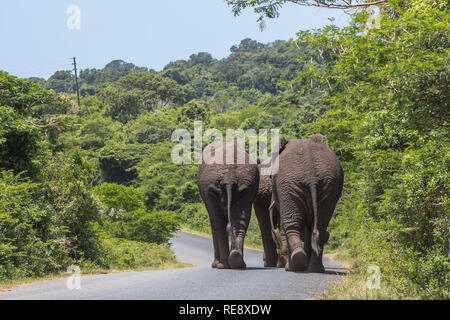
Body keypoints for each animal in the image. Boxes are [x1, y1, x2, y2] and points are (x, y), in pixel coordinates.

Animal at [198, 139, 258, 268]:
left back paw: (223, 265)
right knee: (241, 221)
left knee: (218, 224)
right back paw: (237, 261)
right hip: (248, 184)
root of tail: (229, 176)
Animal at [270, 134, 344, 272]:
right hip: (329, 184)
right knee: (320, 226)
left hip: (289, 185)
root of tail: (311, 176)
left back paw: (294, 267)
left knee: (291, 224)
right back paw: (315, 269)